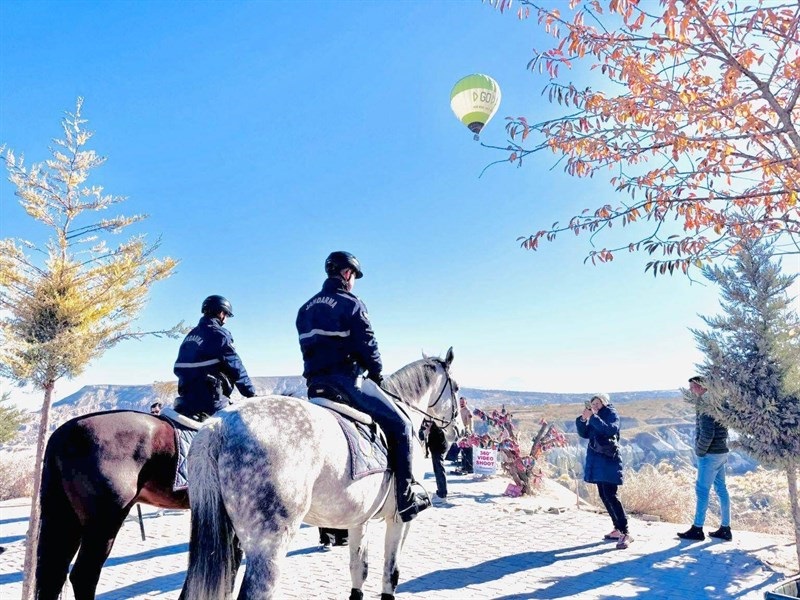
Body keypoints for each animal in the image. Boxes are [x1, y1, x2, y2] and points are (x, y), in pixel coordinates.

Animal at [179, 346, 460, 600]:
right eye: (456, 388)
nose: (457, 431)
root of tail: (217, 424)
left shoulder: (359, 520)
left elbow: (359, 570)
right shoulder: (400, 519)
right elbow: (391, 574)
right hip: (269, 545)